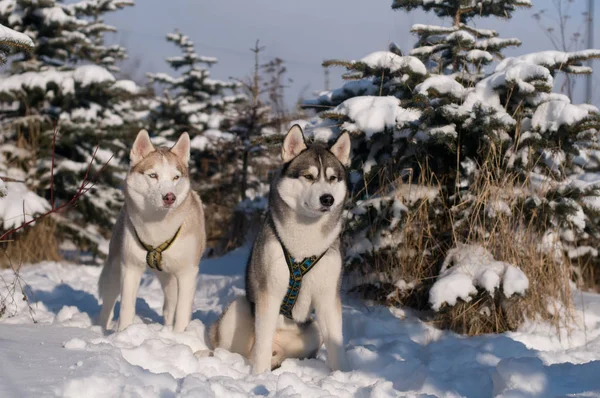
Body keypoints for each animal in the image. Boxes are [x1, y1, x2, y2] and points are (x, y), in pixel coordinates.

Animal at [98, 130, 206, 332]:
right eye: (153, 175)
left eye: (176, 177)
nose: (170, 197)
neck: (157, 227)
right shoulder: (130, 268)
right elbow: (126, 307)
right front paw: (123, 334)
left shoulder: (187, 273)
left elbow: (181, 312)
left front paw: (178, 335)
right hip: (115, 268)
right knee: (108, 302)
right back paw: (100, 327)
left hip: (169, 278)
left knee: (170, 306)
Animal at [209, 124, 352, 374]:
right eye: (309, 176)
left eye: (333, 178)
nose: (328, 199)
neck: (304, 243)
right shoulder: (270, 292)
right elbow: (262, 344)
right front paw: (259, 376)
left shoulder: (328, 296)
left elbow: (336, 343)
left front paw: (342, 375)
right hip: (237, 311)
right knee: (239, 348)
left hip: (313, 331)